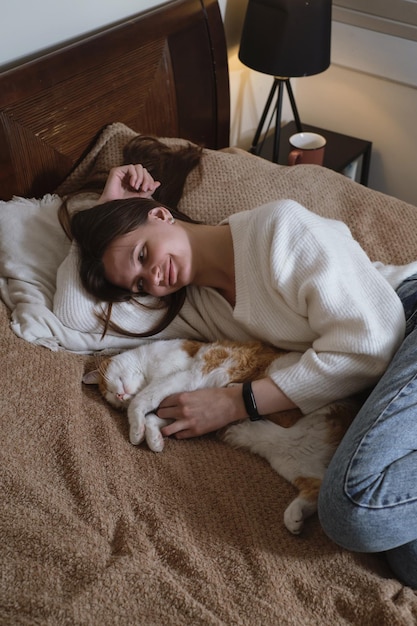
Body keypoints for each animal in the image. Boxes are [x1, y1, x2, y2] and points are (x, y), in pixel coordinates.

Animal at [82, 336, 358, 532]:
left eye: (110, 387)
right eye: (112, 400)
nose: (119, 397)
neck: (150, 369)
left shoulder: (188, 378)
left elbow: (142, 402)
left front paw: (136, 432)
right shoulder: (178, 407)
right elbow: (153, 417)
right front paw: (154, 439)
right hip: (291, 460)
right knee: (317, 491)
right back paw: (294, 518)